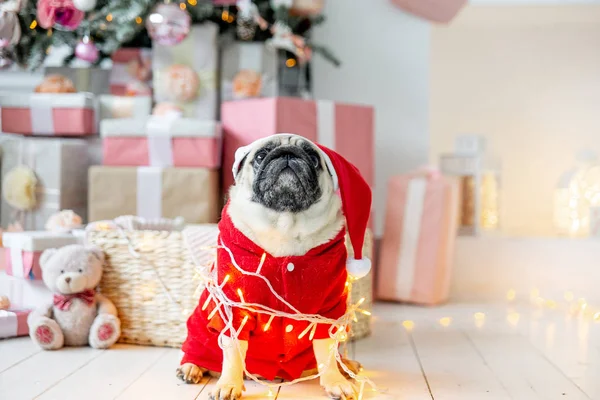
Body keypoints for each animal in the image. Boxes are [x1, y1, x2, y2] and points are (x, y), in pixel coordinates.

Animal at [176, 134, 368, 400]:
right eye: (260, 155)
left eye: (313, 157)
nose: (287, 154)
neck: (285, 223)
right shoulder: (236, 308)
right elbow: (233, 352)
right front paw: (229, 384)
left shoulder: (327, 311)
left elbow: (326, 353)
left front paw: (335, 381)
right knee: (197, 351)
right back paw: (191, 367)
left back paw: (346, 365)